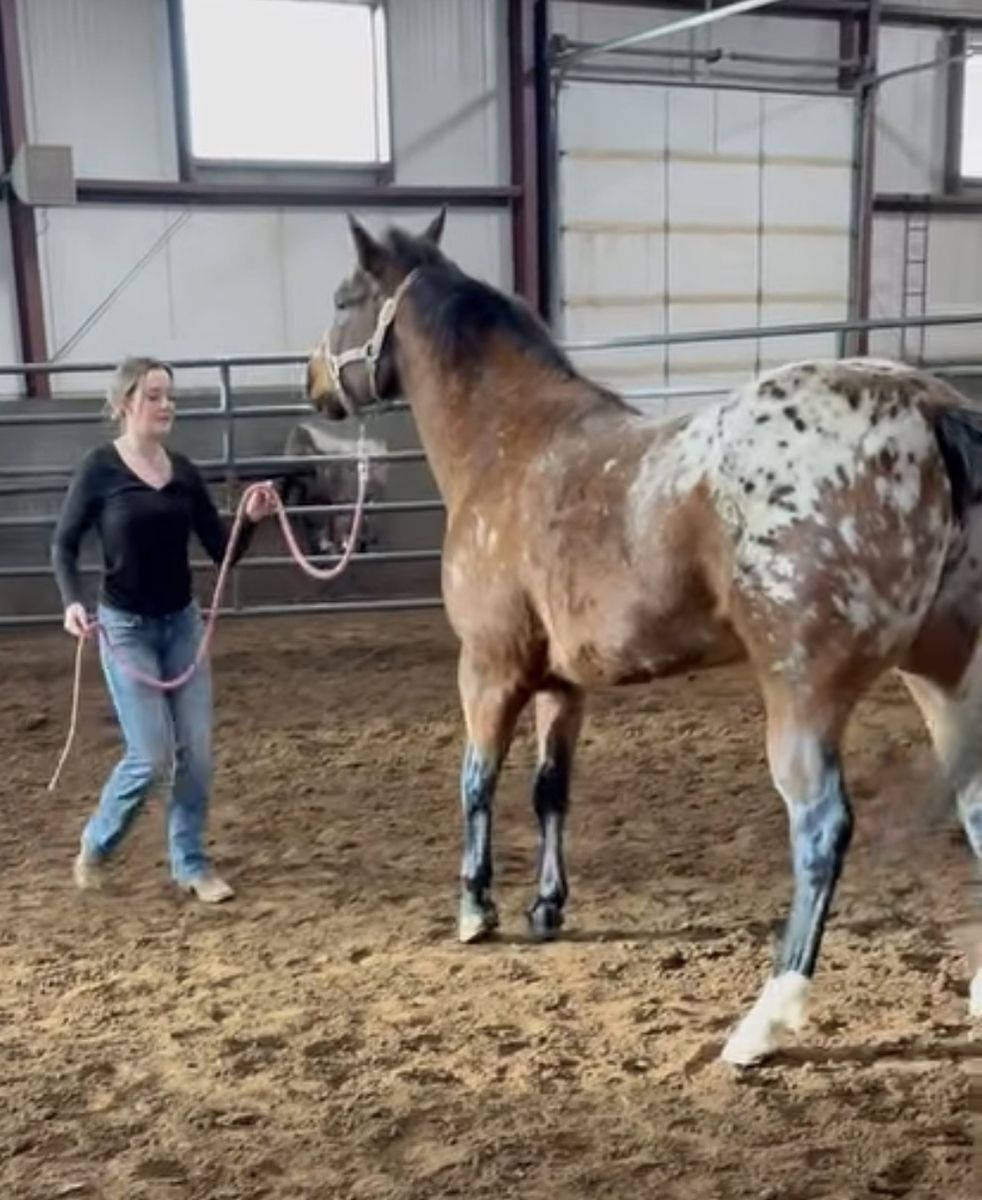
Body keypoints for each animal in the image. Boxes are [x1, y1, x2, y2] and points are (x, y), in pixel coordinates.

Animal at [304, 210, 982, 1066]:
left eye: (342, 300)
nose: (313, 385)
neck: (510, 443)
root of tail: (928, 409)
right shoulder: (564, 685)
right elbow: (549, 789)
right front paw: (545, 909)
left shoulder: (487, 669)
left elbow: (476, 781)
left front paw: (475, 909)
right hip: (943, 672)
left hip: (805, 694)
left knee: (822, 828)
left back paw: (763, 1022)